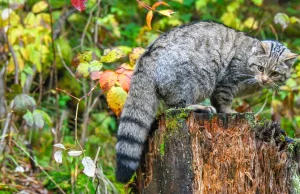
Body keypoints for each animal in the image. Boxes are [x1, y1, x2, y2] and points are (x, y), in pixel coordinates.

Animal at [114, 21, 298, 183]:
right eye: (260, 68)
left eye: (274, 73)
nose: (265, 80)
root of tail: (146, 57)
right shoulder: (227, 81)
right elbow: (223, 100)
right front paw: (229, 110)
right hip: (193, 78)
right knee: (176, 106)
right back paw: (197, 106)